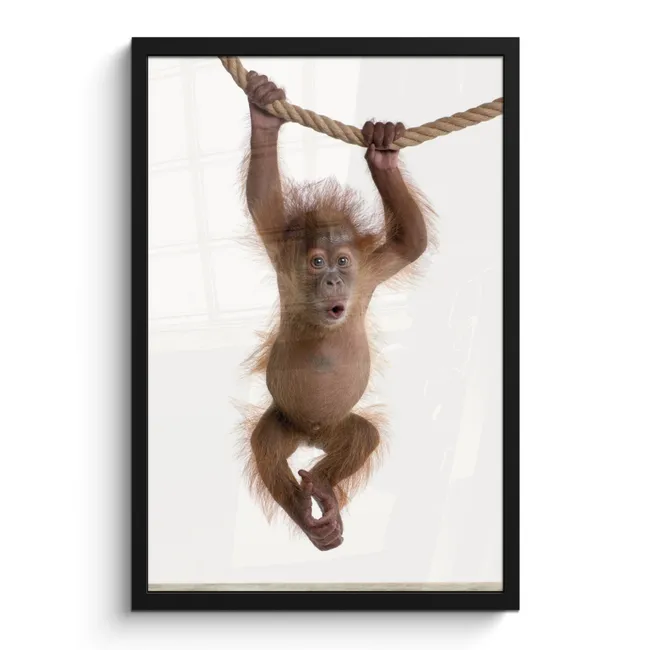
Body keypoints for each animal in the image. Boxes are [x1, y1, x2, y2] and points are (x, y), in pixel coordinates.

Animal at [240, 71, 431, 551]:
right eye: (316, 262)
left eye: (343, 261)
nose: (332, 281)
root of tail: (311, 436)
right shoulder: (283, 256)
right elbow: (262, 199)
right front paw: (264, 116)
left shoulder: (371, 272)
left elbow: (411, 242)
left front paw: (383, 151)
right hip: (285, 421)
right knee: (265, 446)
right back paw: (308, 516)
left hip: (337, 427)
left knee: (363, 436)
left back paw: (324, 492)